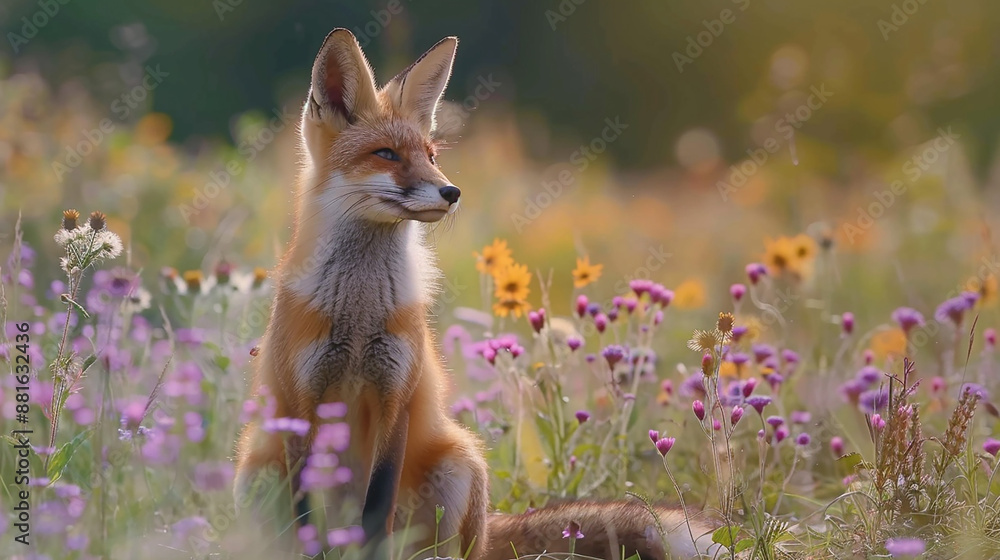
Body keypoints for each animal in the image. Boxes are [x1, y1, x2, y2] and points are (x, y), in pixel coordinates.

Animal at [233, 28, 717, 560]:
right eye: (386, 154)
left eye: (431, 155)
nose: (452, 192)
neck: (358, 318)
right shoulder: (300, 408)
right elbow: (305, 514)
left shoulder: (396, 396)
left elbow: (377, 508)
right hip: (257, 467)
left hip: (459, 461)